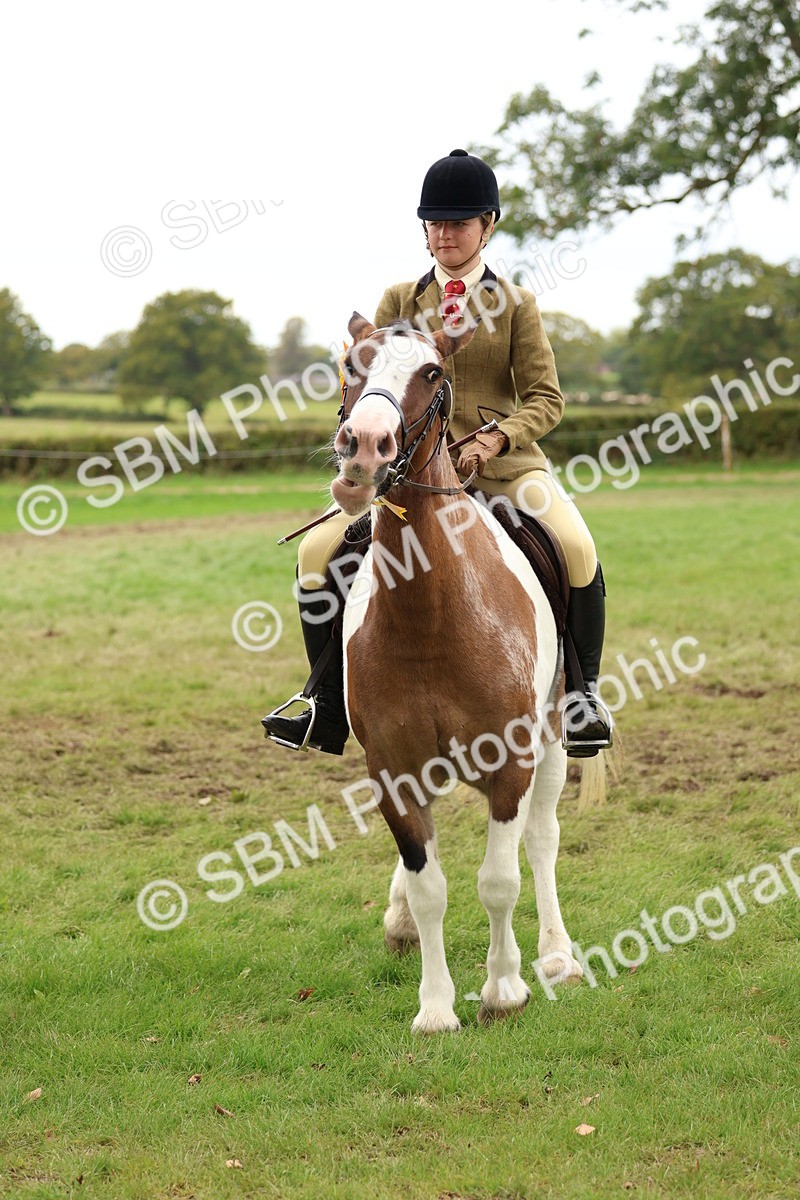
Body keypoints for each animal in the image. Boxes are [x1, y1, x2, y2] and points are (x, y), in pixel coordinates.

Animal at [331, 312, 601, 1033]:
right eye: (350, 365)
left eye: (432, 373)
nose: (363, 448)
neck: (428, 619)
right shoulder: (393, 774)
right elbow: (430, 886)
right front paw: (435, 1008)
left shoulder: (510, 762)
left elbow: (499, 880)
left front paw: (504, 989)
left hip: (554, 737)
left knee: (541, 839)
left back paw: (557, 955)